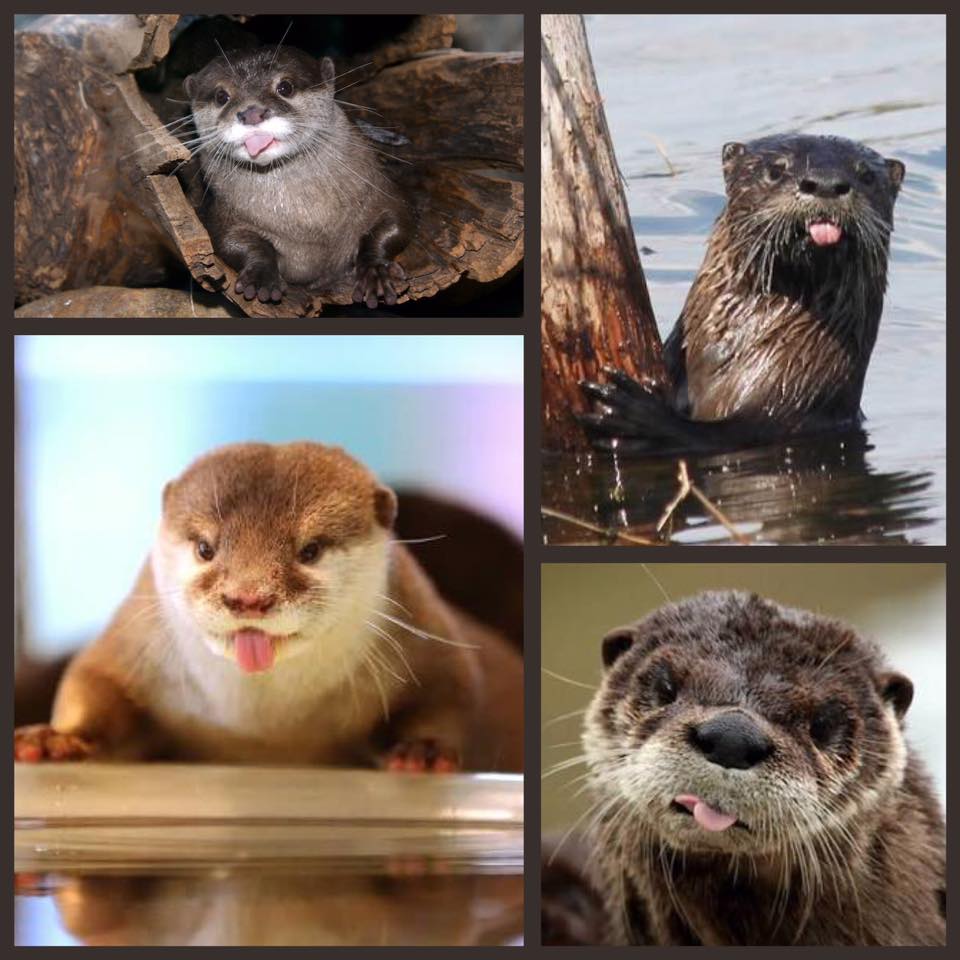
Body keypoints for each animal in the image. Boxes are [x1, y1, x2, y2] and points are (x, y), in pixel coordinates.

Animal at [13, 443, 522, 772]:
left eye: (310, 550)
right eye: (205, 548)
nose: (249, 596)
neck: (262, 729)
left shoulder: (425, 633)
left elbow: (453, 690)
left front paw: (424, 749)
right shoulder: (130, 642)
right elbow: (91, 682)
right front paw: (57, 739)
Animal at [184, 46, 411, 307]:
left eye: (285, 87)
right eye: (221, 96)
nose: (252, 113)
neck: (307, 222)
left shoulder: (379, 187)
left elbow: (395, 220)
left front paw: (375, 271)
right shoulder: (222, 213)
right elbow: (231, 240)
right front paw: (261, 275)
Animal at [581, 135, 905, 452]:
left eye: (866, 175)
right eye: (775, 170)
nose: (825, 184)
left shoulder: (799, 414)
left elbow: (724, 434)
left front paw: (638, 414)